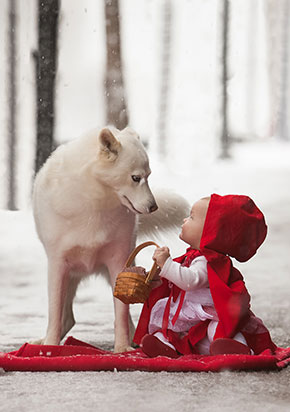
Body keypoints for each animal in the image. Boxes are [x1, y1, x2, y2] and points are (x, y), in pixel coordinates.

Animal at [32, 127, 189, 352]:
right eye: (135, 178)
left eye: (148, 176)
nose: (153, 207)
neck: (95, 201)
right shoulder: (57, 265)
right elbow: (54, 314)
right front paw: (50, 348)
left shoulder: (118, 263)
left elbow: (121, 314)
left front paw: (122, 349)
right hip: (68, 277)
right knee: (66, 318)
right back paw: (43, 341)